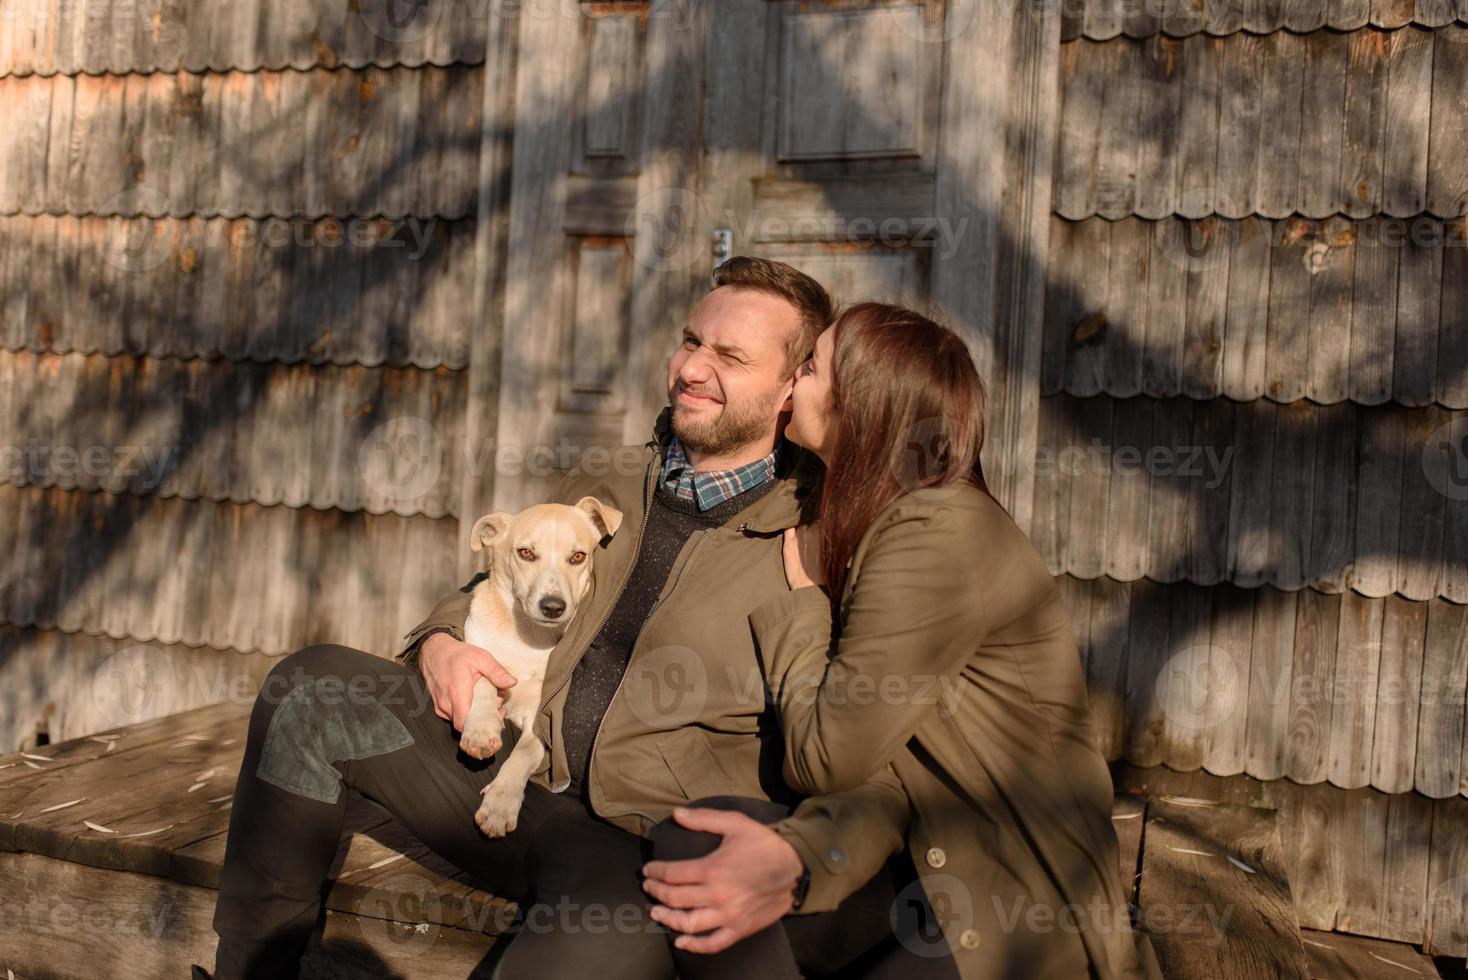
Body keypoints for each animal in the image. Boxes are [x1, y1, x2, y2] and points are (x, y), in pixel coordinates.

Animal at [458, 498, 619, 833]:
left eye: (578, 556)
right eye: (526, 553)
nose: (553, 607)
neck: (528, 636)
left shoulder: (541, 723)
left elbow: (522, 754)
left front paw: (500, 804)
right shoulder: (475, 651)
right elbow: (481, 680)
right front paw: (481, 730)